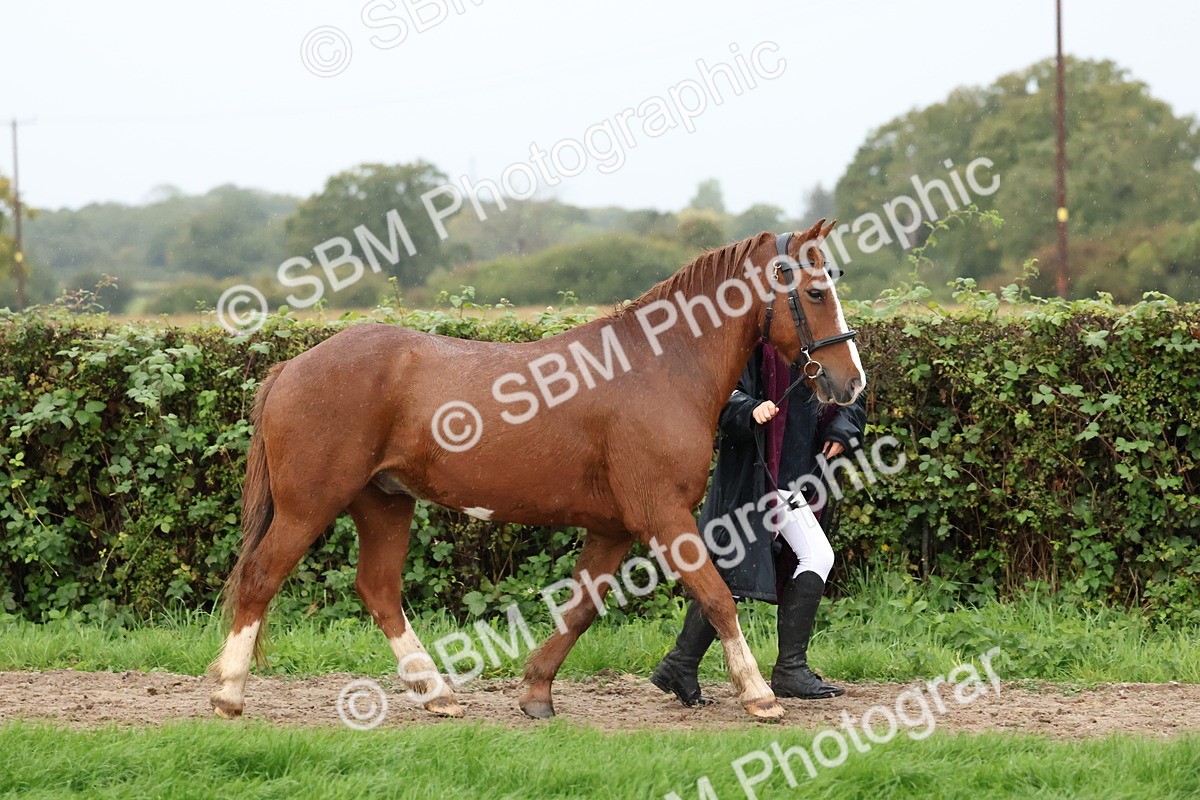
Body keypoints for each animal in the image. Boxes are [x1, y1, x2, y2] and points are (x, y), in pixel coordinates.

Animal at [209, 220, 866, 722]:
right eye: (813, 293)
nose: (851, 381)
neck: (658, 367)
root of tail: (291, 367)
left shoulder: (613, 527)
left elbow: (580, 608)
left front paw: (536, 693)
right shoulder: (662, 515)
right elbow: (717, 596)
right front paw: (759, 696)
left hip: (384, 501)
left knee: (378, 590)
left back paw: (437, 694)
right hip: (311, 504)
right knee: (262, 577)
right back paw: (228, 695)